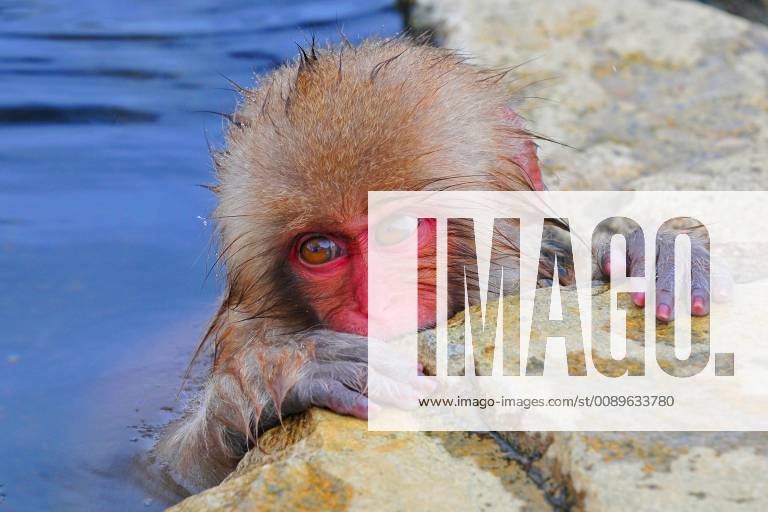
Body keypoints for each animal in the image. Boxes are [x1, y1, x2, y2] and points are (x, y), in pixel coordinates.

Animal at [156, 37, 712, 491]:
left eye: (398, 230)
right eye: (318, 250)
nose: (373, 303)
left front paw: (649, 255)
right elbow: (173, 471)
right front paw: (287, 371)